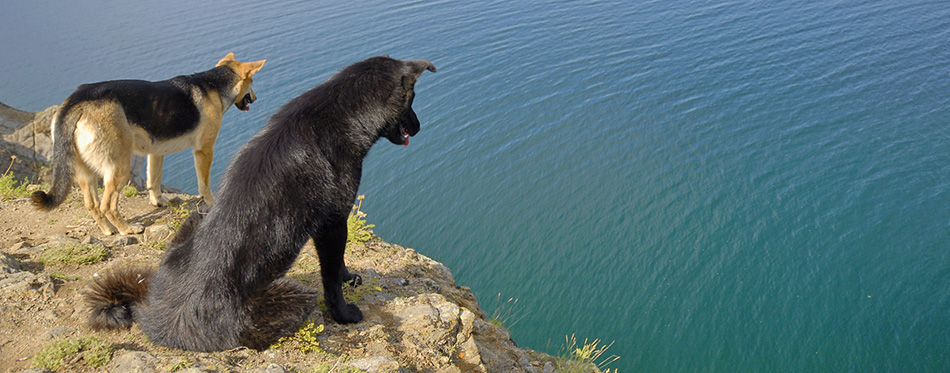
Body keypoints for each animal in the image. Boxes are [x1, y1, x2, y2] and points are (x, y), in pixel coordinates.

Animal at [33, 53, 264, 232]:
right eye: (252, 83)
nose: (255, 98)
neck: (213, 85)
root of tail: (76, 101)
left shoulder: (156, 152)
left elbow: (154, 180)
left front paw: (158, 202)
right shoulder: (204, 150)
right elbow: (204, 184)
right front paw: (212, 203)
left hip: (85, 172)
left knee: (92, 205)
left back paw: (108, 230)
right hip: (119, 168)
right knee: (108, 205)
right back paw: (127, 229)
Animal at [85, 54, 436, 348]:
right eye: (413, 100)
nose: (419, 128)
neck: (341, 114)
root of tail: (163, 321)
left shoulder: (333, 226)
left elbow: (340, 265)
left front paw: (349, 277)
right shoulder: (333, 223)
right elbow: (331, 276)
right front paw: (344, 313)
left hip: (197, 217)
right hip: (295, 296)